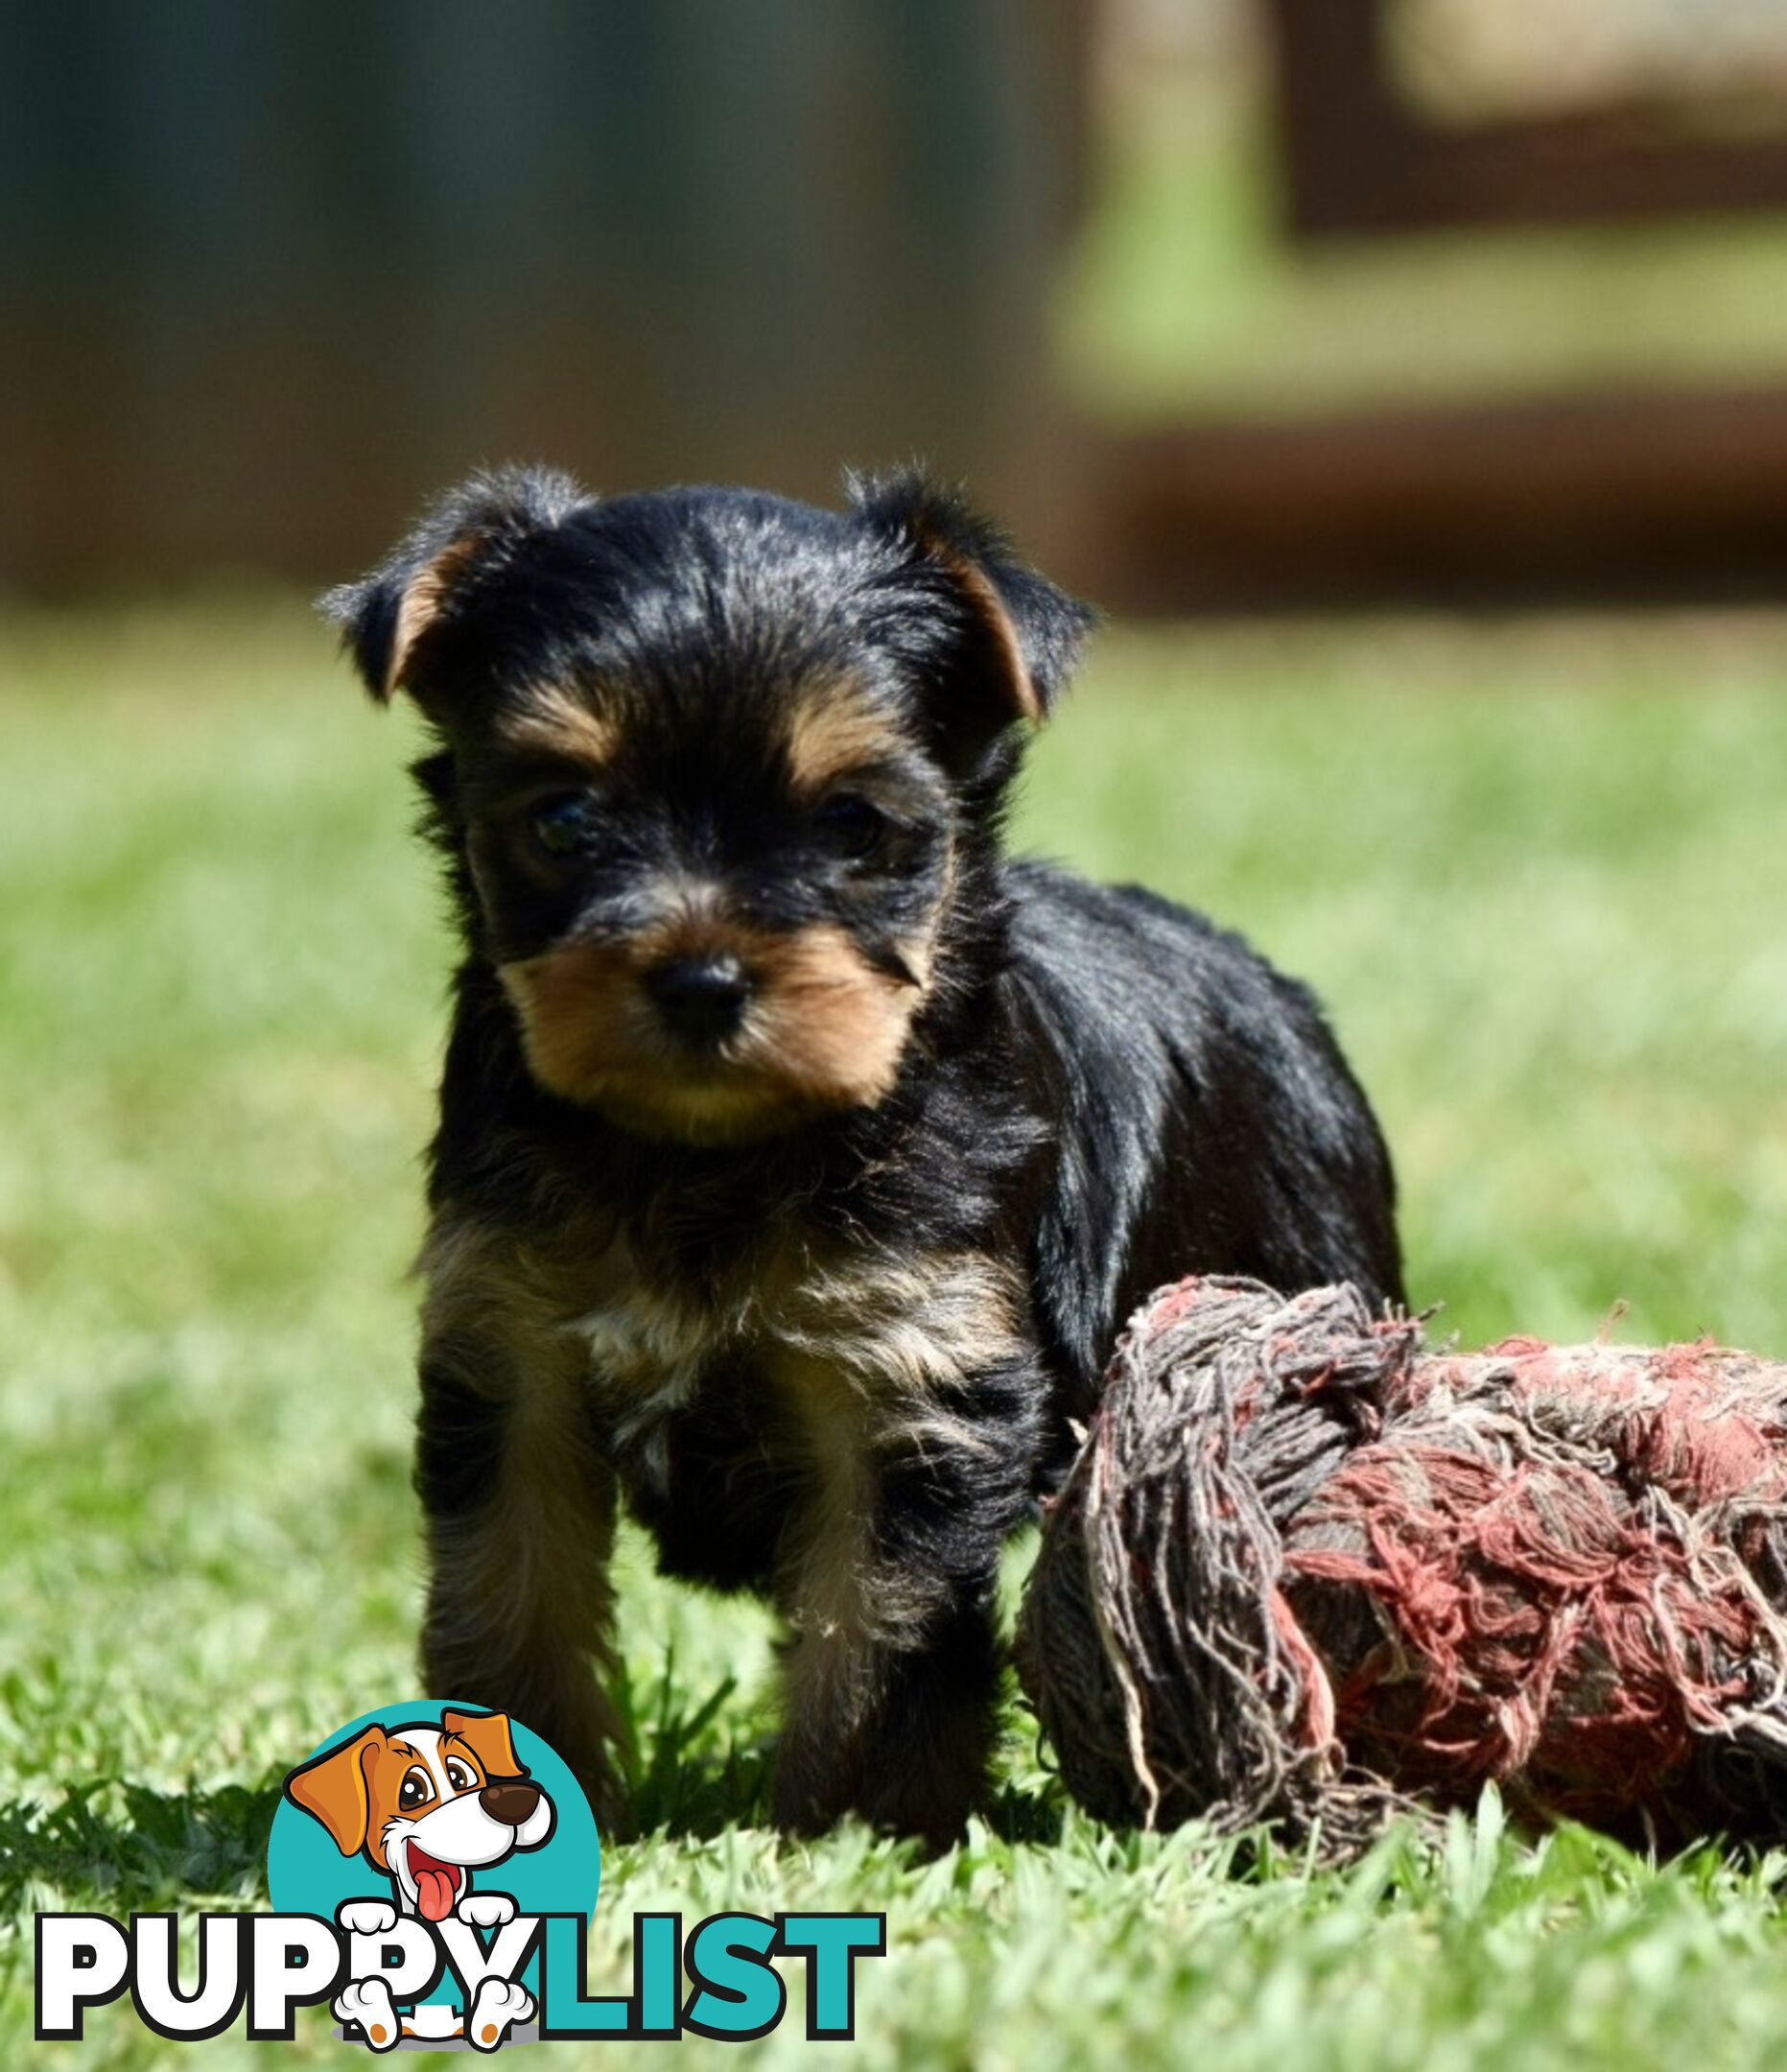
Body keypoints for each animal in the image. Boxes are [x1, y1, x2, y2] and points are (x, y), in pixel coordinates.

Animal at [329, 470, 1409, 1848]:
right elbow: (508, 1587)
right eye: (564, 818)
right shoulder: (510, 1349)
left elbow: (877, 1621)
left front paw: (847, 1830)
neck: (709, 1152)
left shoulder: (910, 1377)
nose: (700, 978)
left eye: (852, 823)